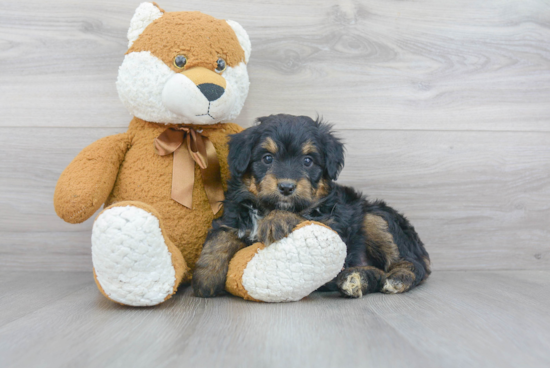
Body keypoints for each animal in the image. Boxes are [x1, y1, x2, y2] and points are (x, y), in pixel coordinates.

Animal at [194, 113, 432, 298]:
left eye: (307, 161)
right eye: (267, 158)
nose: (286, 187)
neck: (266, 207)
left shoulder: (333, 219)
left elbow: (304, 216)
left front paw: (277, 219)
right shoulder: (234, 212)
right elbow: (221, 235)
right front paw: (206, 276)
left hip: (375, 218)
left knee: (412, 264)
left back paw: (397, 279)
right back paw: (355, 278)